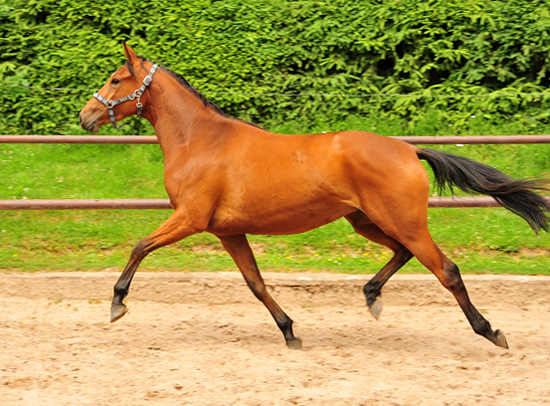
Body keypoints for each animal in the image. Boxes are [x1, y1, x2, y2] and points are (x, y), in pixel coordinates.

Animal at [78, 43, 550, 348]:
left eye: (116, 79)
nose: (86, 116)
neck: (202, 141)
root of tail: (407, 149)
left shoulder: (190, 219)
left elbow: (140, 247)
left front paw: (117, 303)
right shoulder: (227, 232)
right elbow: (256, 284)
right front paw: (289, 331)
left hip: (404, 221)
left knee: (446, 270)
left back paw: (490, 331)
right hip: (367, 221)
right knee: (402, 254)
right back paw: (372, 297)